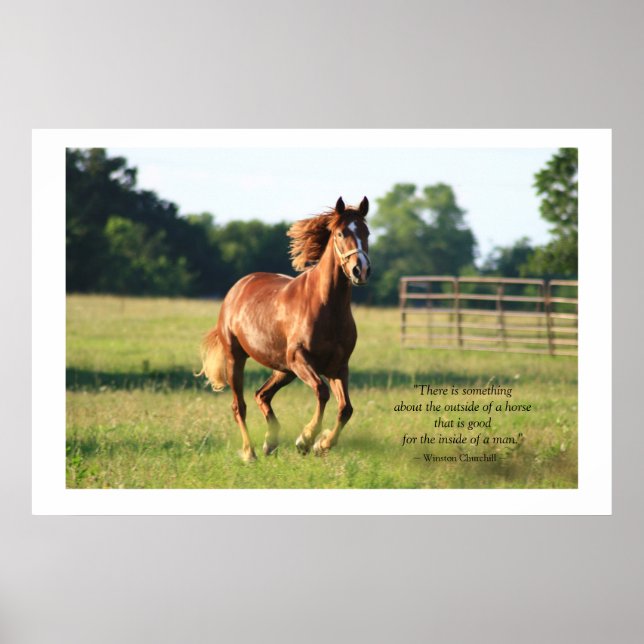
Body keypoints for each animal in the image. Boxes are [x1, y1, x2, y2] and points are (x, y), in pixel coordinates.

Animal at [197, 196, 371, 462]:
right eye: (341, 233)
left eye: (367, 232)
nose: (360, 270)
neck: (325, 306)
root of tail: (237, 288)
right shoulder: (300, 358)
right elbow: (322, 392)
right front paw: (306, 439)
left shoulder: (338, 366)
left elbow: (346, 409)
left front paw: (322, 444)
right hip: (238, 359)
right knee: (240, 406)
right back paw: (250, 453)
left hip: (283, 369)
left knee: (261, 395)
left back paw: (270, 442)